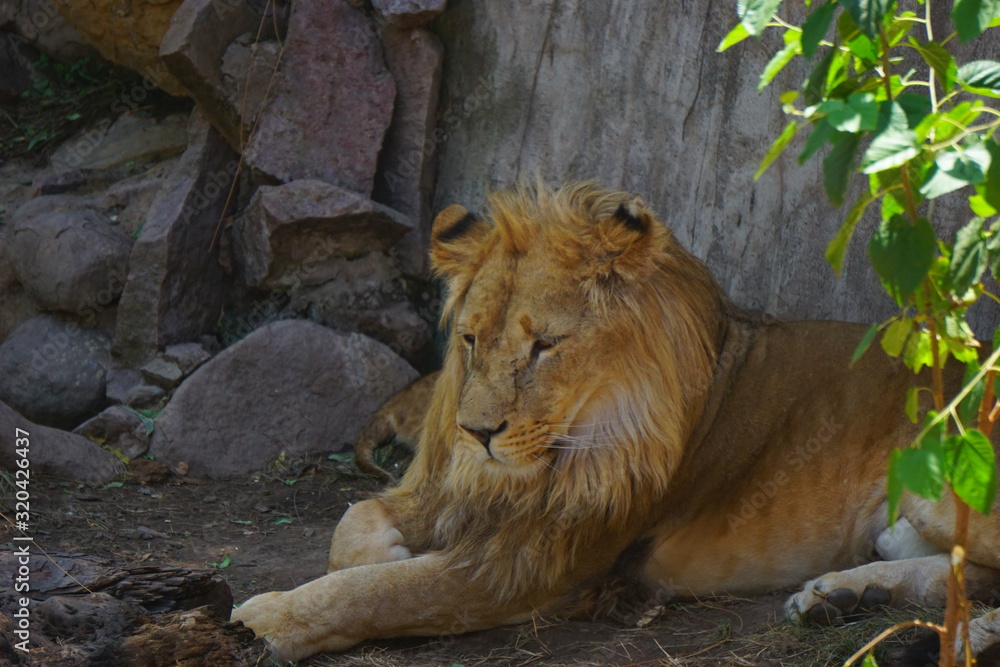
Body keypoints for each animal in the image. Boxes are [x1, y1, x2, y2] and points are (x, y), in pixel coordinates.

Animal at [232, 181, 1000, 662]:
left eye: (544, 345)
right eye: (472, 339)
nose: (476, 435)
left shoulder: (527, 564)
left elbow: (378, 592)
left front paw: (266, 620)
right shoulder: (451, 492)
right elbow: (352, 525)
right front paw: (385, 550)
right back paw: (846, 592)